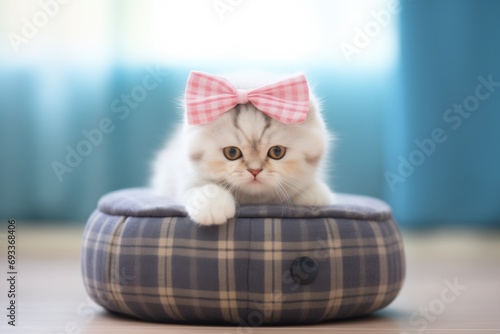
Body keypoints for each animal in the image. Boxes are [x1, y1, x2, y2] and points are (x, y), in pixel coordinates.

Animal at [150, 72, 334, 226]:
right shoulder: (182, 174)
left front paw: (316, 193)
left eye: (277, 152)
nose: (254, 171)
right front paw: (212, 205)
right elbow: (198, 186)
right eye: (232, 152)